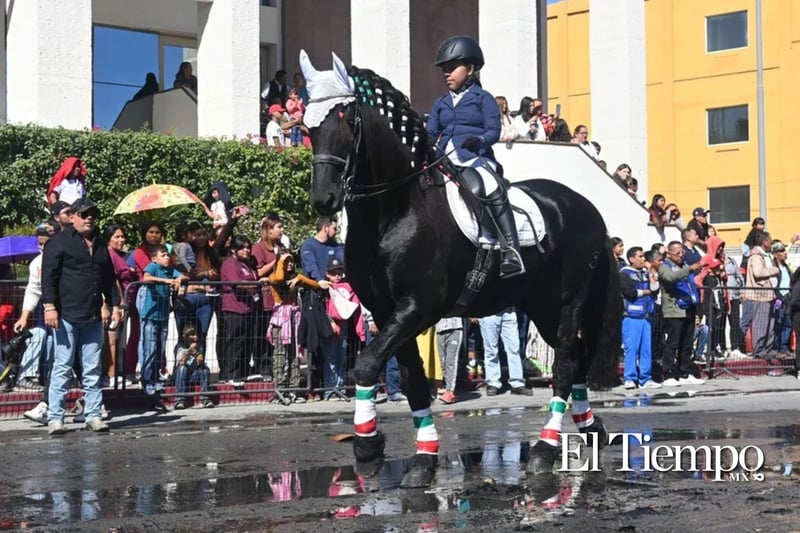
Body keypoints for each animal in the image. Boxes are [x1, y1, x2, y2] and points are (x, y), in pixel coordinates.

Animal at [300, 52, 620, 488]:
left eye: (346, 118)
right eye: (307, 126)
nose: (324, 199)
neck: (393, 212)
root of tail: (588, 209)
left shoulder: (418, 306)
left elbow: (366, 363)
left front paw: (368, 447)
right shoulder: (387, 311)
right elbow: (413, 381)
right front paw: (422, 459)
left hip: (568, 303)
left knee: (566, 365)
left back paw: (544, 449)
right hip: (541, 307)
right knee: (575, 361)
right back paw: (589, 428)